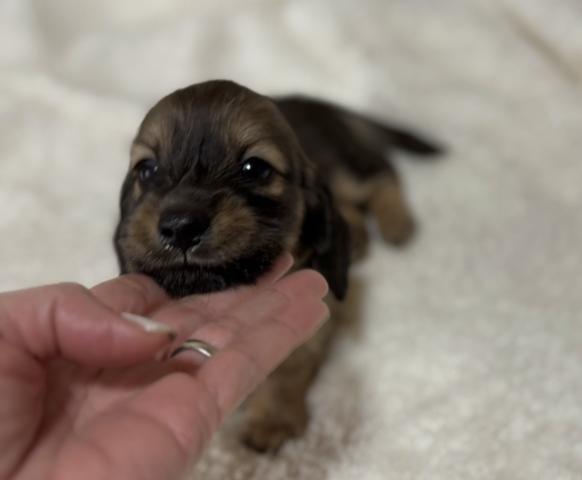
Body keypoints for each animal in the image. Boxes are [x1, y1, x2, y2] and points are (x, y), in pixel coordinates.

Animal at [114, 80, 441, 452]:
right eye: (147, 169)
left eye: (254, 168)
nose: (181, 226)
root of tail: (325, 105)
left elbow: (290, 365)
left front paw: (272, 420)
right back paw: (359, 238)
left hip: (347, 166)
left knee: (384, 175)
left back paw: (396, 223)